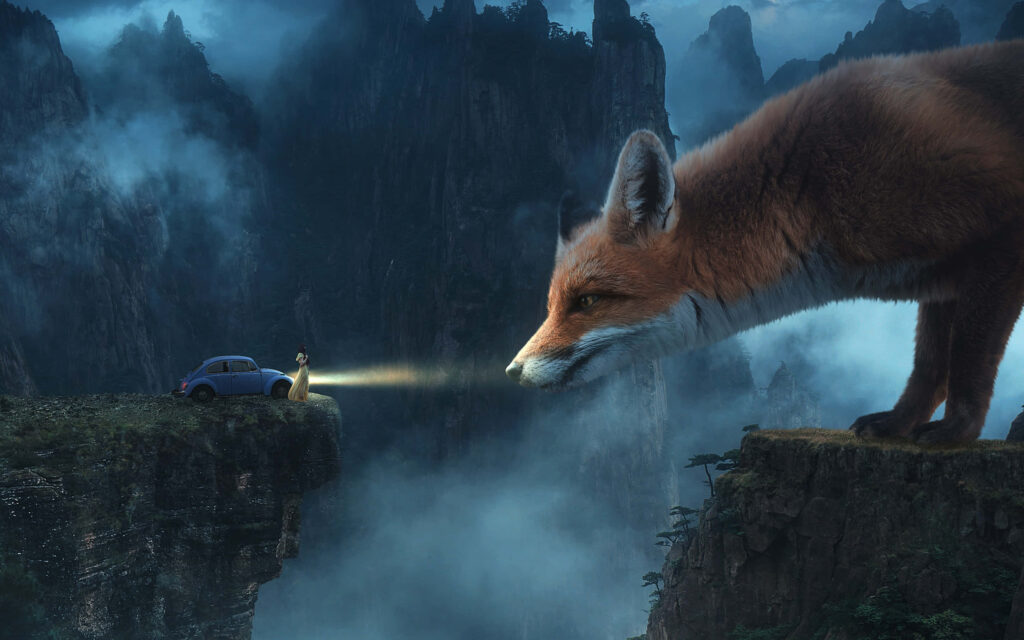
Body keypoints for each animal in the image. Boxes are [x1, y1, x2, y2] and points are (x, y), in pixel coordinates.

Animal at [505, 41, 1024, 444]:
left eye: (587, 301)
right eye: (552, 306)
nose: (512, 372)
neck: (812, 191)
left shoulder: (998, 233)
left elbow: (968, 359)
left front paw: (958, 431)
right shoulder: (940, 278)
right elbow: (929, 366)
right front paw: (900, 423)